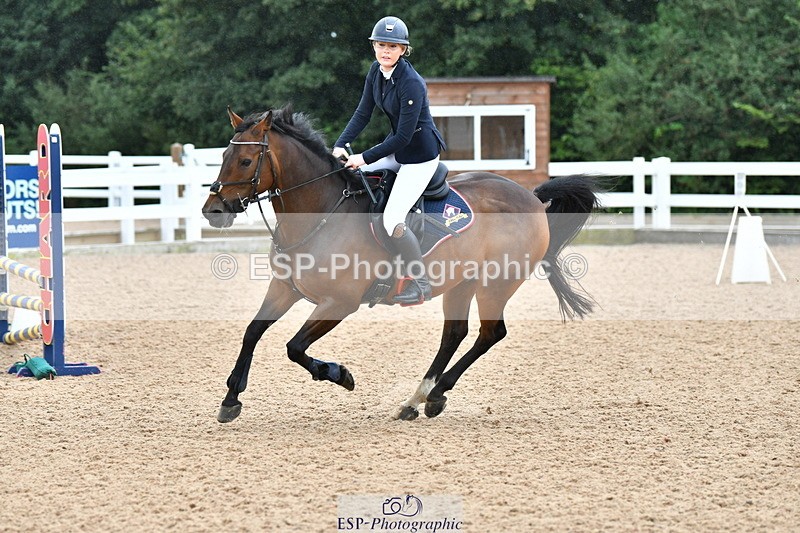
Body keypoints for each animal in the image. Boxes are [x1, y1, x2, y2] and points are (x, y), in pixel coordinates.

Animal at [202, 105, 602, 423]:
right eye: (222, 157)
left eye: (245, 161)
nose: (213, 211)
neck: (322, 213)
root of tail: (531, 198)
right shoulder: (285, 288)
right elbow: (253, 331)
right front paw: (231, 397)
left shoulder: (339, 303)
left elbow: (294, 347)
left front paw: (339, 374)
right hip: (461, 283)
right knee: (454, 334)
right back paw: (418, 399)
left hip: (496, 284)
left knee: (491, 333)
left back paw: (434, 394)